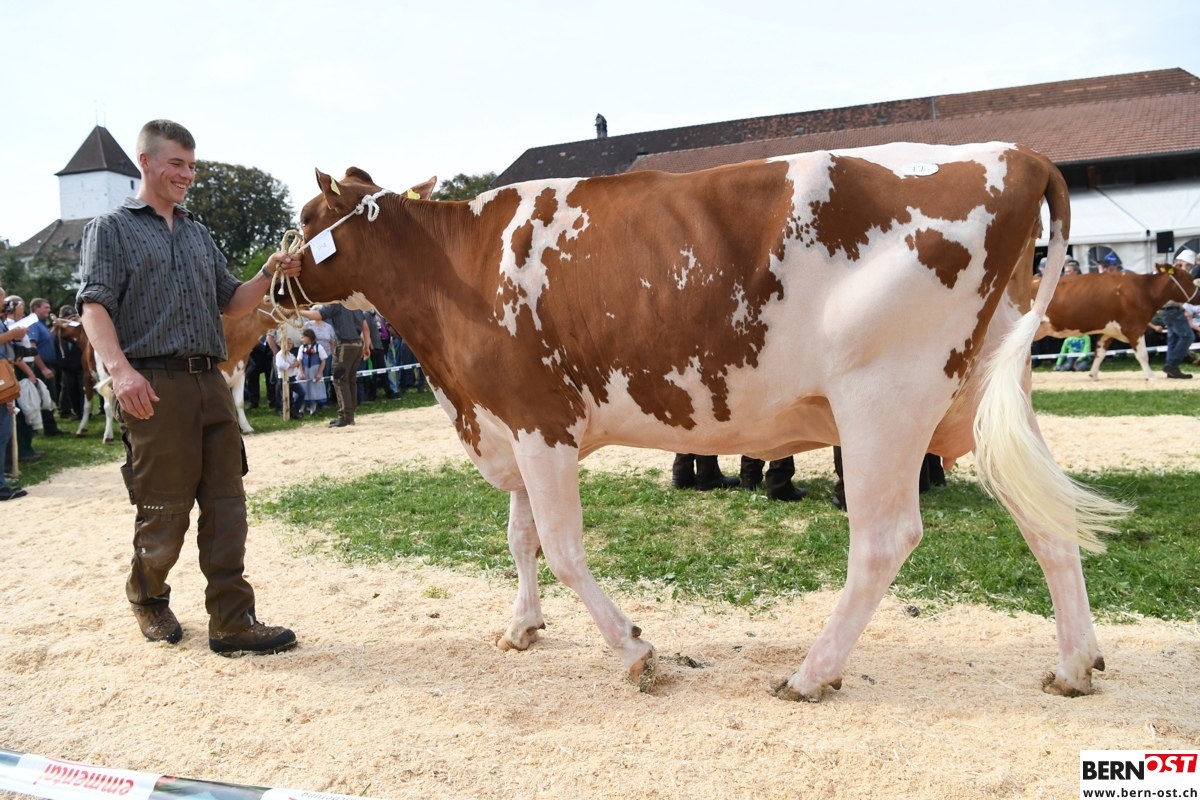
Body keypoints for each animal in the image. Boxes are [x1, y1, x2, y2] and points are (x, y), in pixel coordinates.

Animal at [284, 142, 1128, 702]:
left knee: (885, 540)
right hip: (983, 398)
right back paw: (1075, 664)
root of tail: (1014, 153)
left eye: (304, 217)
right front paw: (522, 628)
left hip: (884, 399)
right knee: (1046, 519)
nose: (275, 275)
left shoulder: (540, 422)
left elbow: (561, 547)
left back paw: (812, 672)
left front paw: (633, 650)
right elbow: (521, 540)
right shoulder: (510, 423)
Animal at [1033, 266, 1200, 378]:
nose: (1199, 296)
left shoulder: (1108, 330)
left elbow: (1099, 353)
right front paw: (1151, 376)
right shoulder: (1134, 328)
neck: (1144, 290)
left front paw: (1093, 375)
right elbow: (1143, 355)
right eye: (1190, 280)